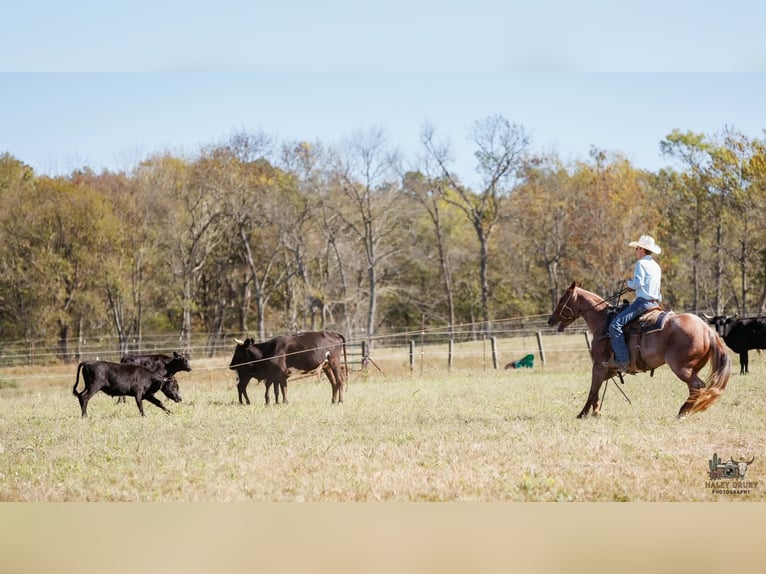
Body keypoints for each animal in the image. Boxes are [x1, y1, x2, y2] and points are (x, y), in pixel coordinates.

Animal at [547, 282, 731, 418]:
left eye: (562, 299)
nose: (550, 320)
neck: (603, 322)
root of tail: (707, 330)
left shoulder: (598, 365)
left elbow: (593, 389)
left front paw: (583, 414)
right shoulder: (607, 368)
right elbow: (597, 389)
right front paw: (596, 412)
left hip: (681, 367)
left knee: (697, 386)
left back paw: (682, 412)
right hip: (693, 367)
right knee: (696, 388)